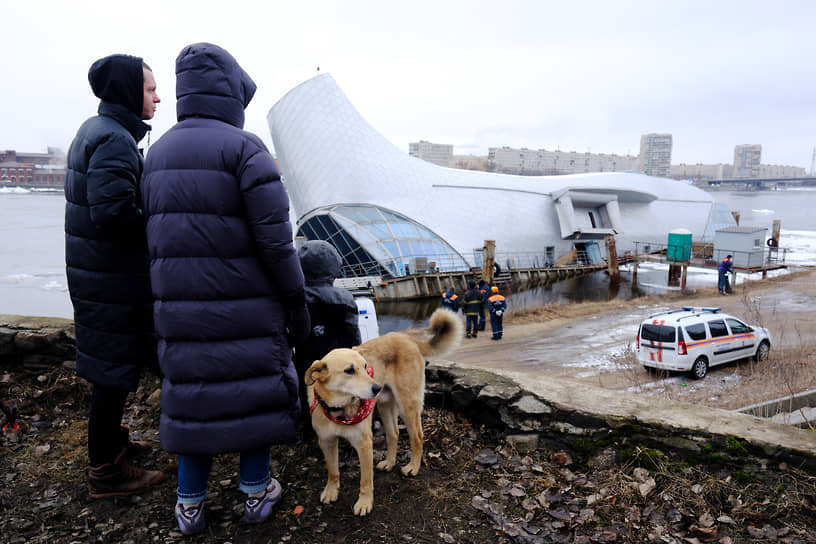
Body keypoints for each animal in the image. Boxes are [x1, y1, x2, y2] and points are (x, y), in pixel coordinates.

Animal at [302, 308, 462, 516]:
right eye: (349, 370)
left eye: (365, 367)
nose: (376, 387)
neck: (339, 410)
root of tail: (407, 338)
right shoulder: (326, 442)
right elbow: (332, 470)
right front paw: (331, 491)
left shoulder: (363, 443)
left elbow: (365, 480)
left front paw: (364, 503)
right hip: (386, 406)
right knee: (394, 434)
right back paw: (389, 462)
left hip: (407, 405)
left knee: (417, 437)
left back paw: (413, 467)